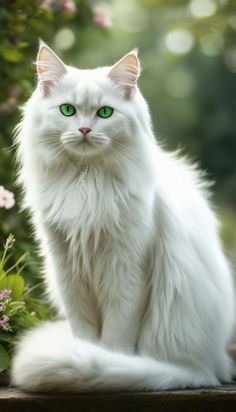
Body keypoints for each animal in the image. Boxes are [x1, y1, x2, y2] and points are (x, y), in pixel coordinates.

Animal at [10, 42, 234, 392]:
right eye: (67, 111)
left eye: (104, 113)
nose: (84, 129)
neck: (86, 183)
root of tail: (210, 366)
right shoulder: (67, 268)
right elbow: (84, 332)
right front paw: (87, 352)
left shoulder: (127, 267)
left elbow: (118, 333)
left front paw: (110, 361)